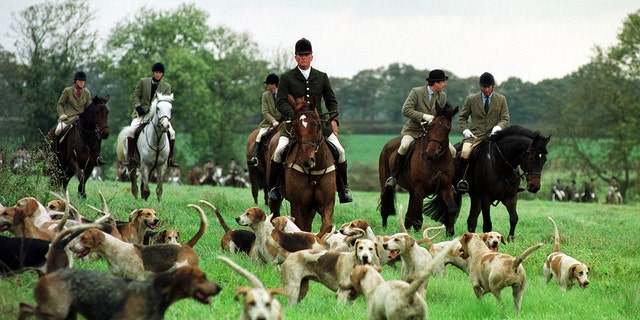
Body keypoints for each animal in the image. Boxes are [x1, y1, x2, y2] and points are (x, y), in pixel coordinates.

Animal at [266, 95, 336, 232]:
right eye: (295, 125)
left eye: (315, 124)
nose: (306, 159)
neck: (314, 171)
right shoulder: (298, 205)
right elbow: (300, 228)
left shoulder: (327, 205)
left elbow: (325, 228)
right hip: (275, 199)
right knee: (274, 215)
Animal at [378, 102, 458, 232]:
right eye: (431, 125)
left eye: (448, 128)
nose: (431, 152)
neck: (436, 161)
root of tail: (388, 144)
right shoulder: (420, 190)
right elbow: (417, 217)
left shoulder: (445, 188)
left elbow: (452, 209)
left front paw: (450, 233)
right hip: (386, 185)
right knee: (385, 207)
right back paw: (384, 230)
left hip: (412, 191)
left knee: (409, 214)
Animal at [424, 125, 552, 240]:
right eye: (531, 158)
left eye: (544, 160)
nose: (535, 187)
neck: (502, 165)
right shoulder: (486, 198)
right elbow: (487, 224)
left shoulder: (511, 197)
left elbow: (514, 218)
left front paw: (510, 239)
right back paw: (450, 233)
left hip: (475, 196)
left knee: (471, 220)